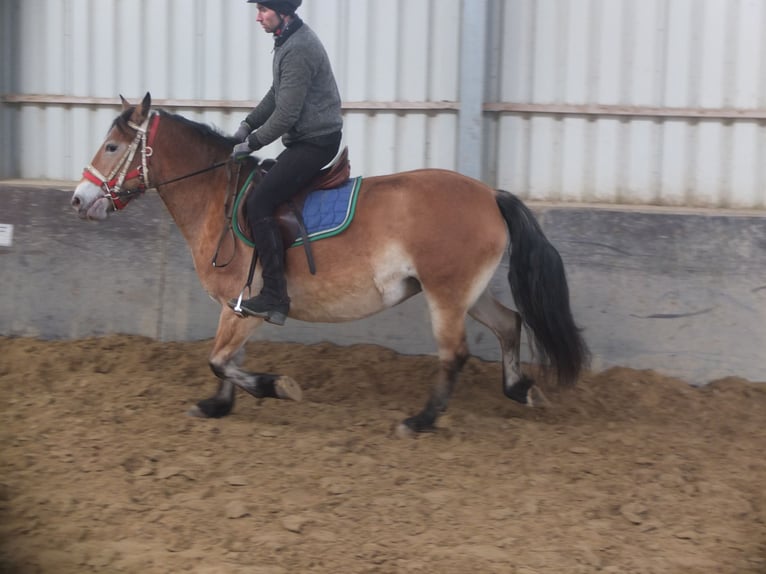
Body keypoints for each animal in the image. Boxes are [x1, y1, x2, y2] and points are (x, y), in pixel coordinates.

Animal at [70, 93, 588, 436]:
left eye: (112, 147)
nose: (79, 199)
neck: (218, 199)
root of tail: (489, 194)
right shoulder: (232, 307)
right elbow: (226, 360)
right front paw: (217, 408)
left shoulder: (249, 307)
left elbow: (219, 360)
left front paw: (277, 387)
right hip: (468, 293)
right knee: (509, 323)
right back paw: (520, 389)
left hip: (446, 294)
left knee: (455, 353)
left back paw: (420, 421)